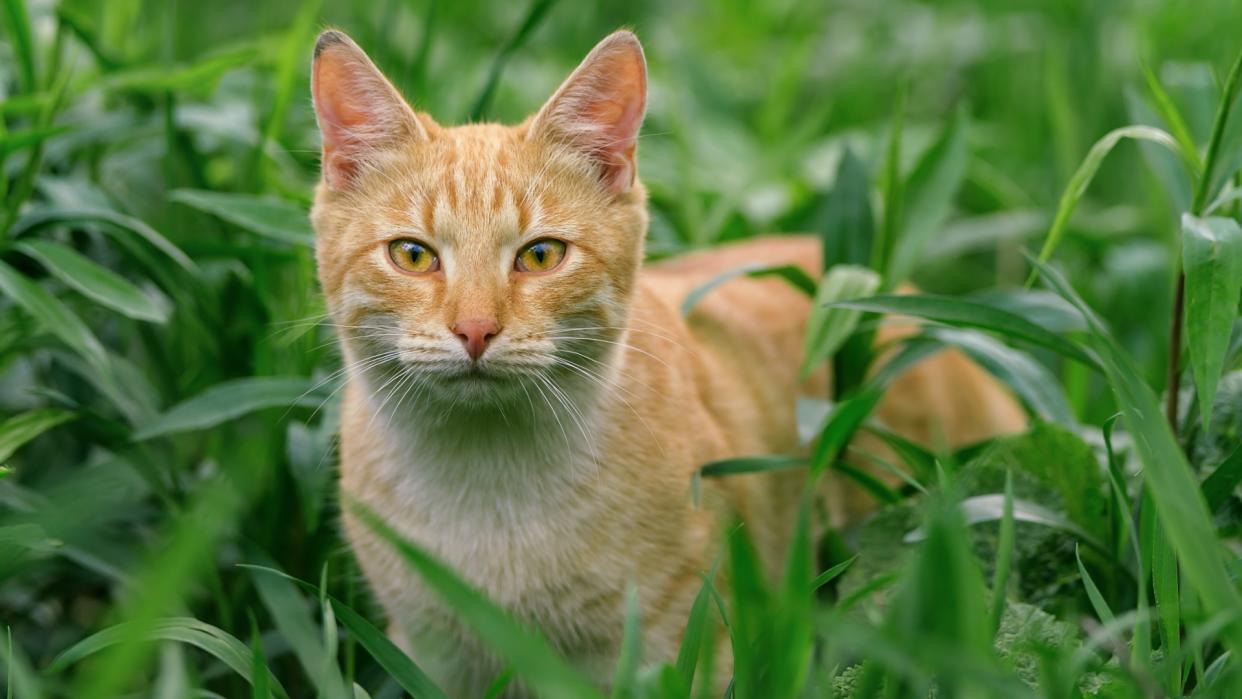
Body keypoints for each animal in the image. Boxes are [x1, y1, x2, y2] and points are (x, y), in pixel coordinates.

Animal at [308, 28, 1018, 695]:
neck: (489, 484)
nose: (476, 329)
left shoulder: (682, 647)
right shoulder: (430, 652)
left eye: (540, 255)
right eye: (412, 255)